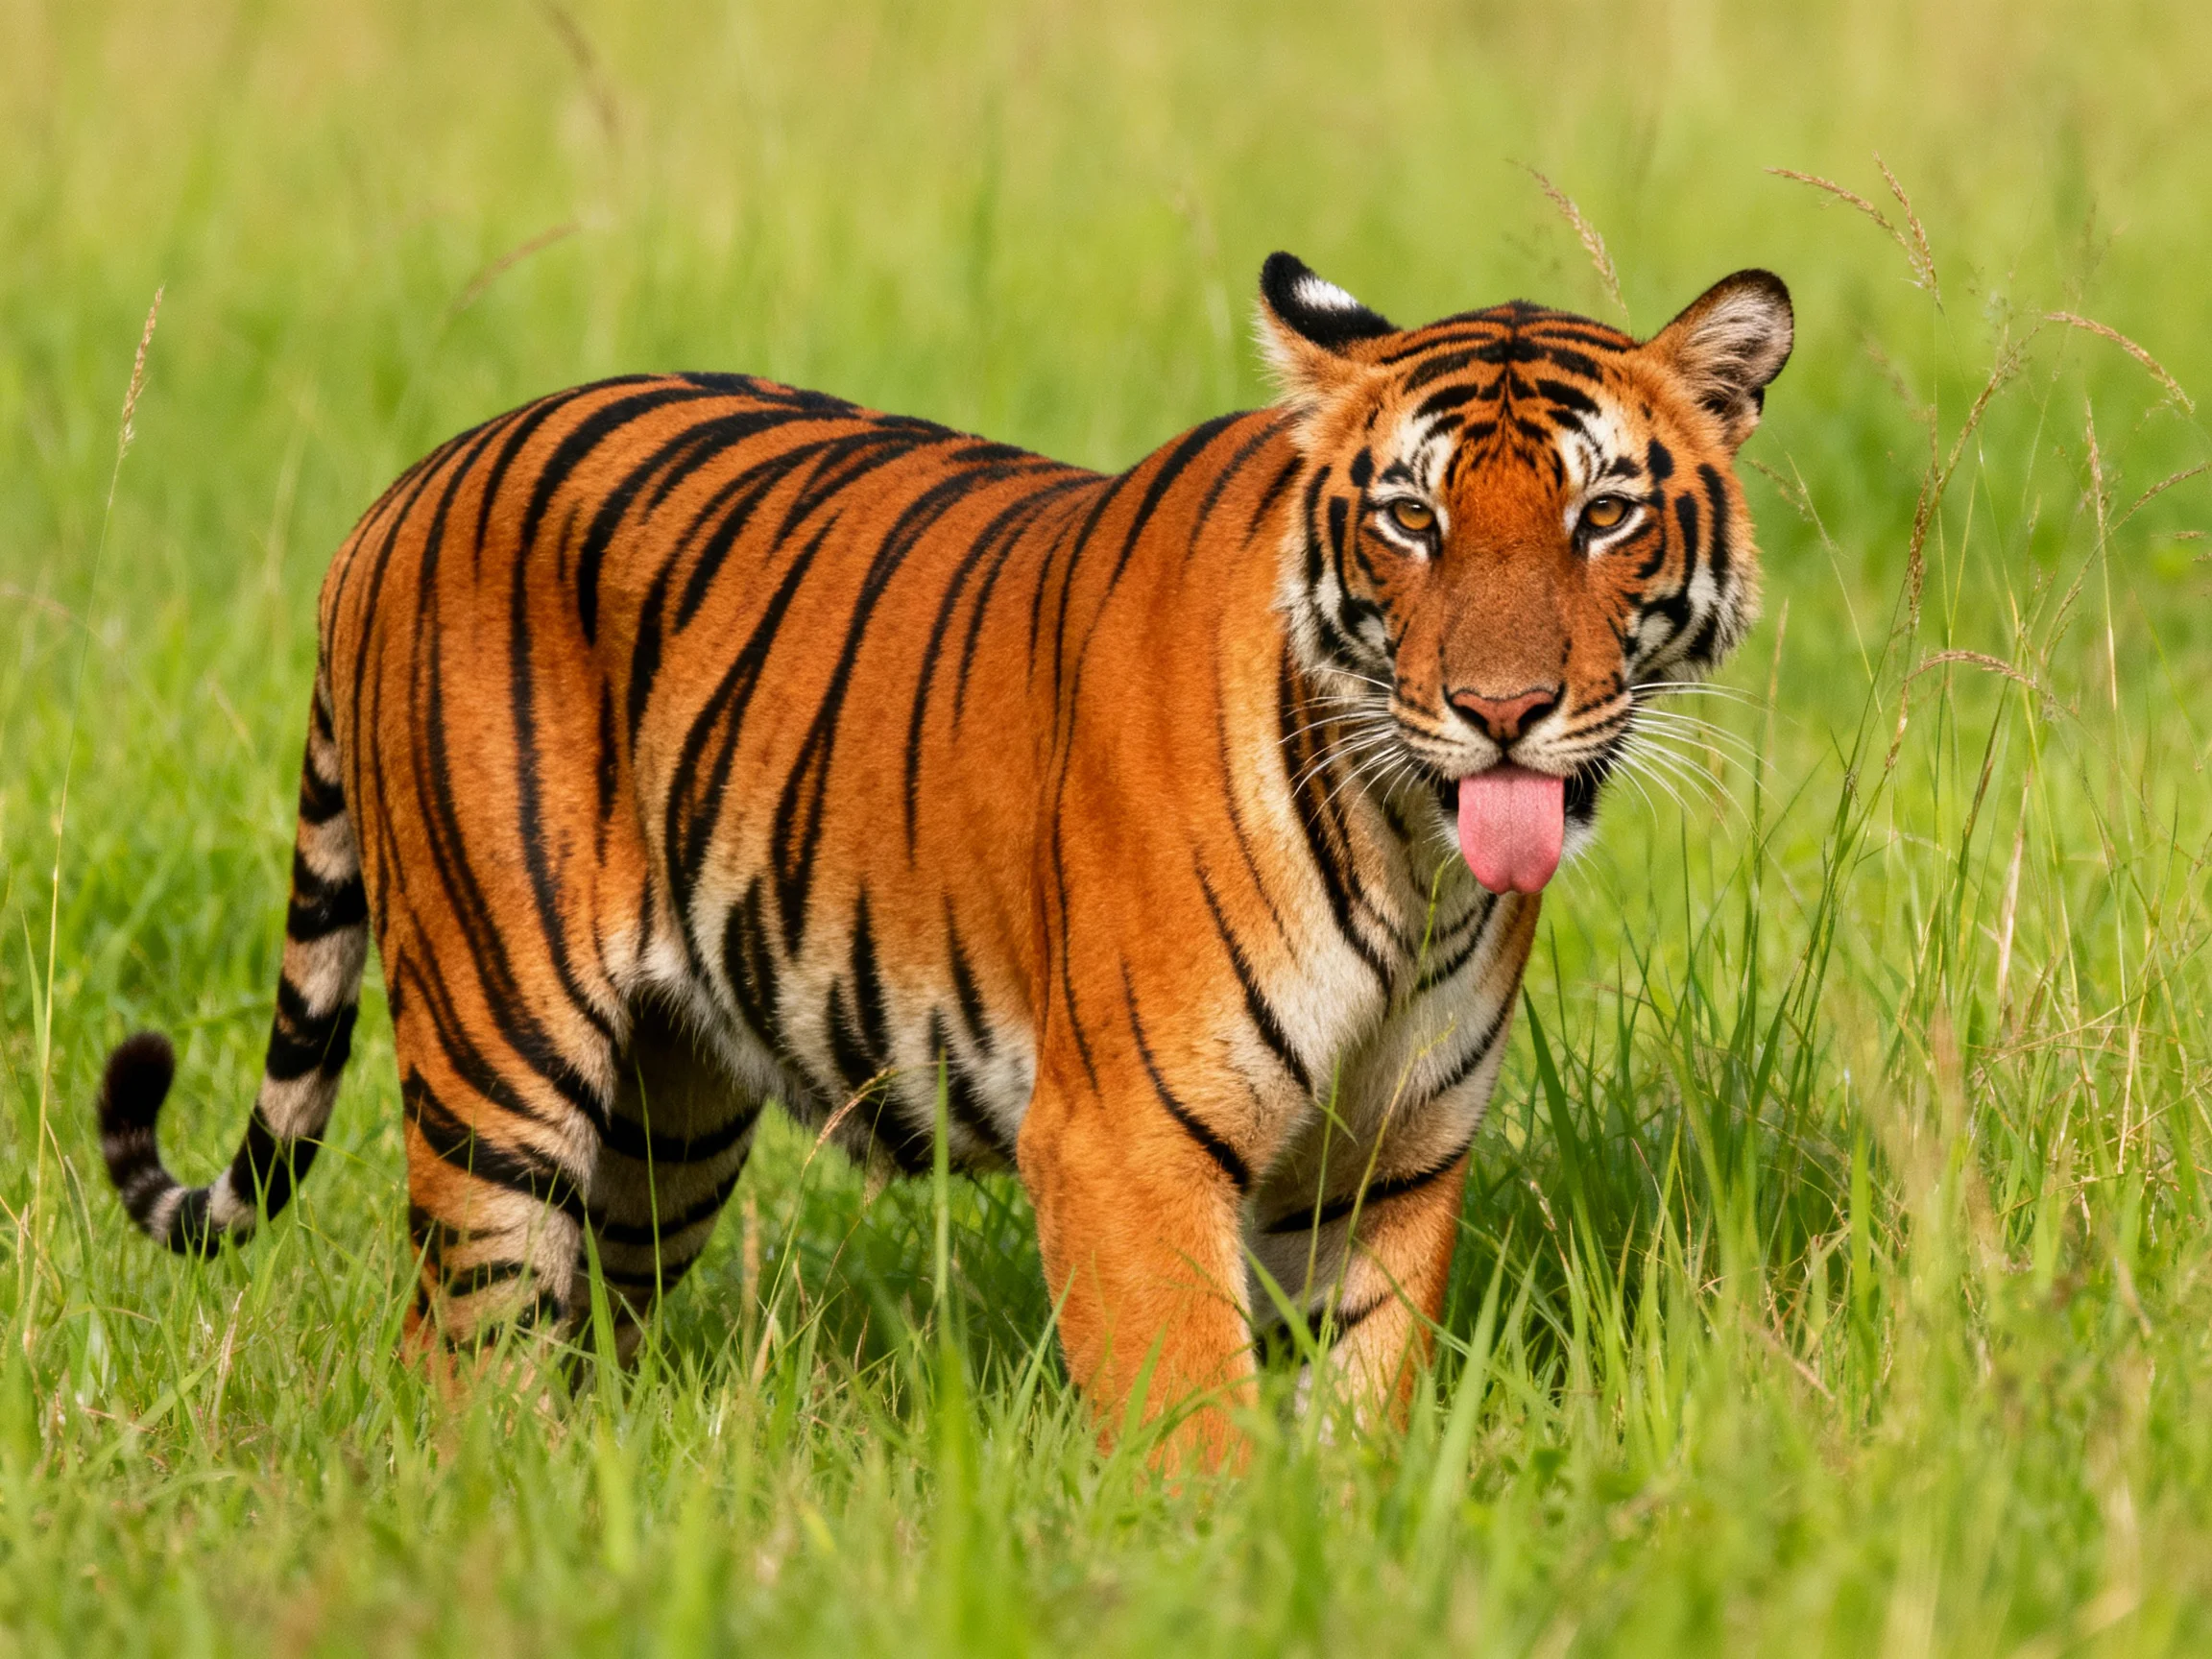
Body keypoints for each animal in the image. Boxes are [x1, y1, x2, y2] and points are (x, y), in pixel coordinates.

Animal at [96, 251, 1790, 1461]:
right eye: (1411, 520)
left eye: (1605, 516)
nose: (1501, 713)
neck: (1411, 855)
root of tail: (403, 489)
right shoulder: (1123, 1141)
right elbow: (1195, 1421)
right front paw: (1222, 1573)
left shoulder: (1391, 1153)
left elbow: (1359, 1412)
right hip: (499, 1055)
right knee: (461, 1353)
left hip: (667, 1122)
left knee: (587, 1328)